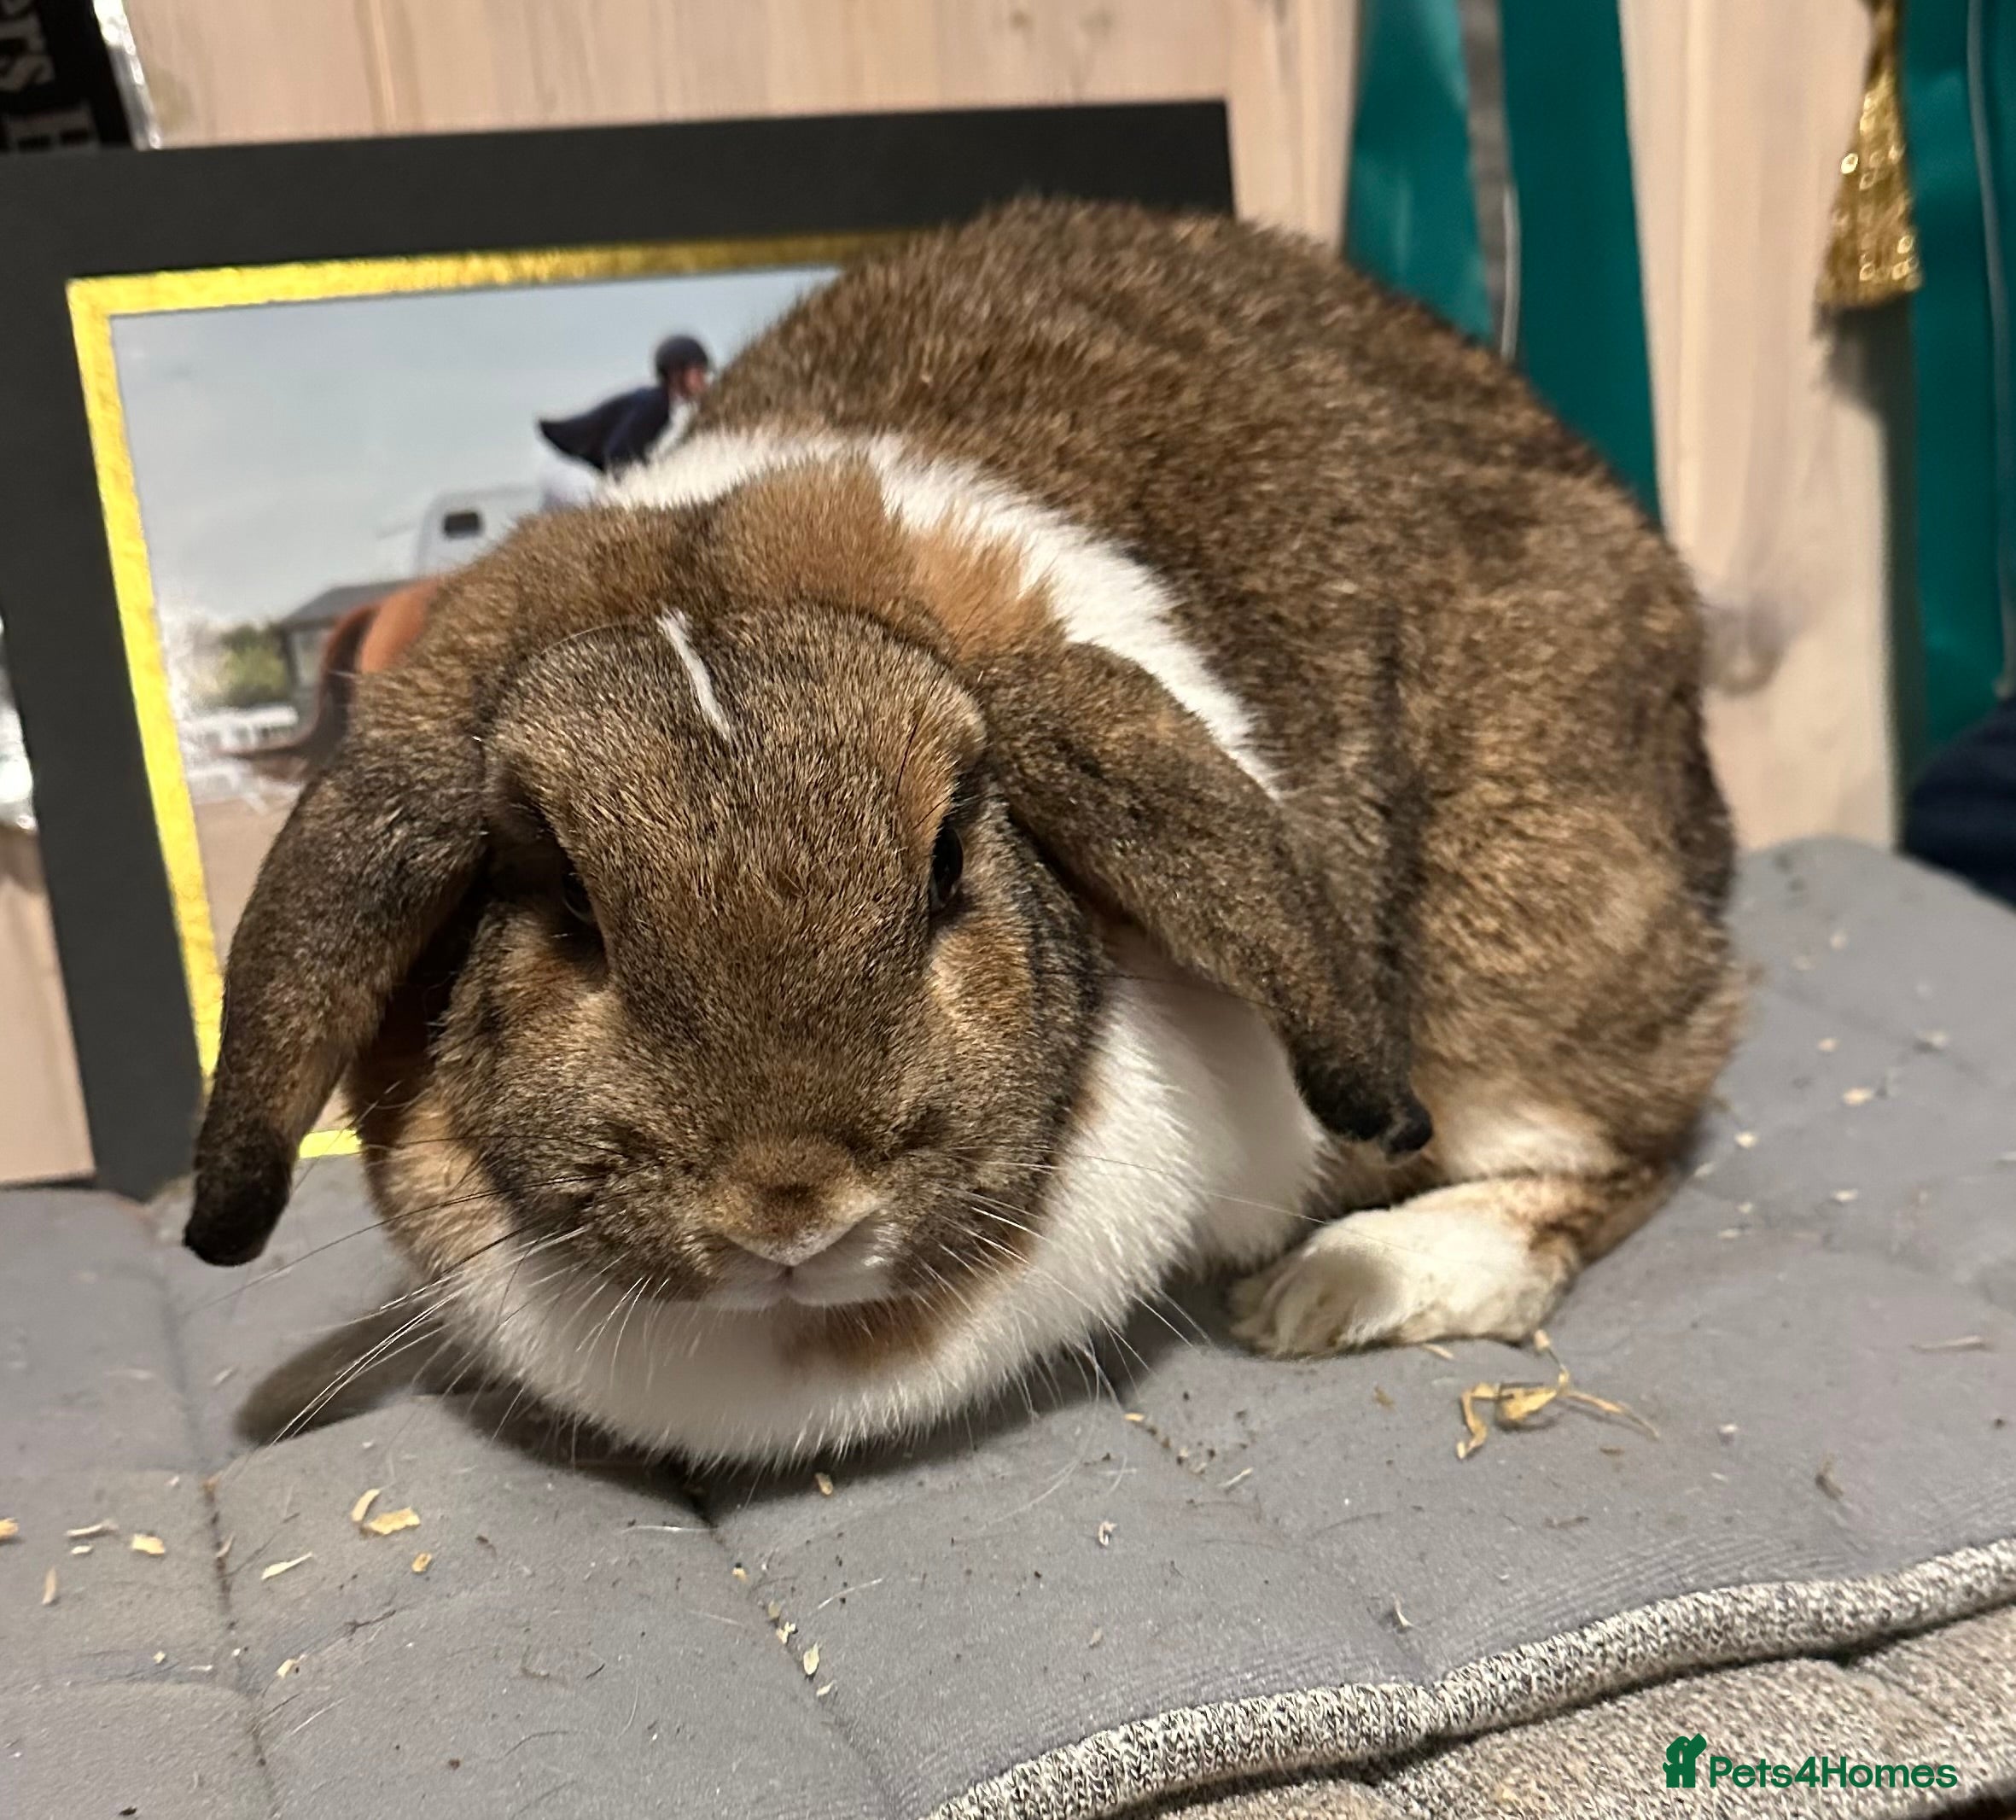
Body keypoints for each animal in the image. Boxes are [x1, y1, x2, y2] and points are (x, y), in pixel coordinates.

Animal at [183, 200, 1741, 1465]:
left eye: (944, 862)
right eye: (564, 899)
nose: (789, 1210)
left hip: (1524, 952)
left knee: (1625, 1151)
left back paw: (1343, 1286)